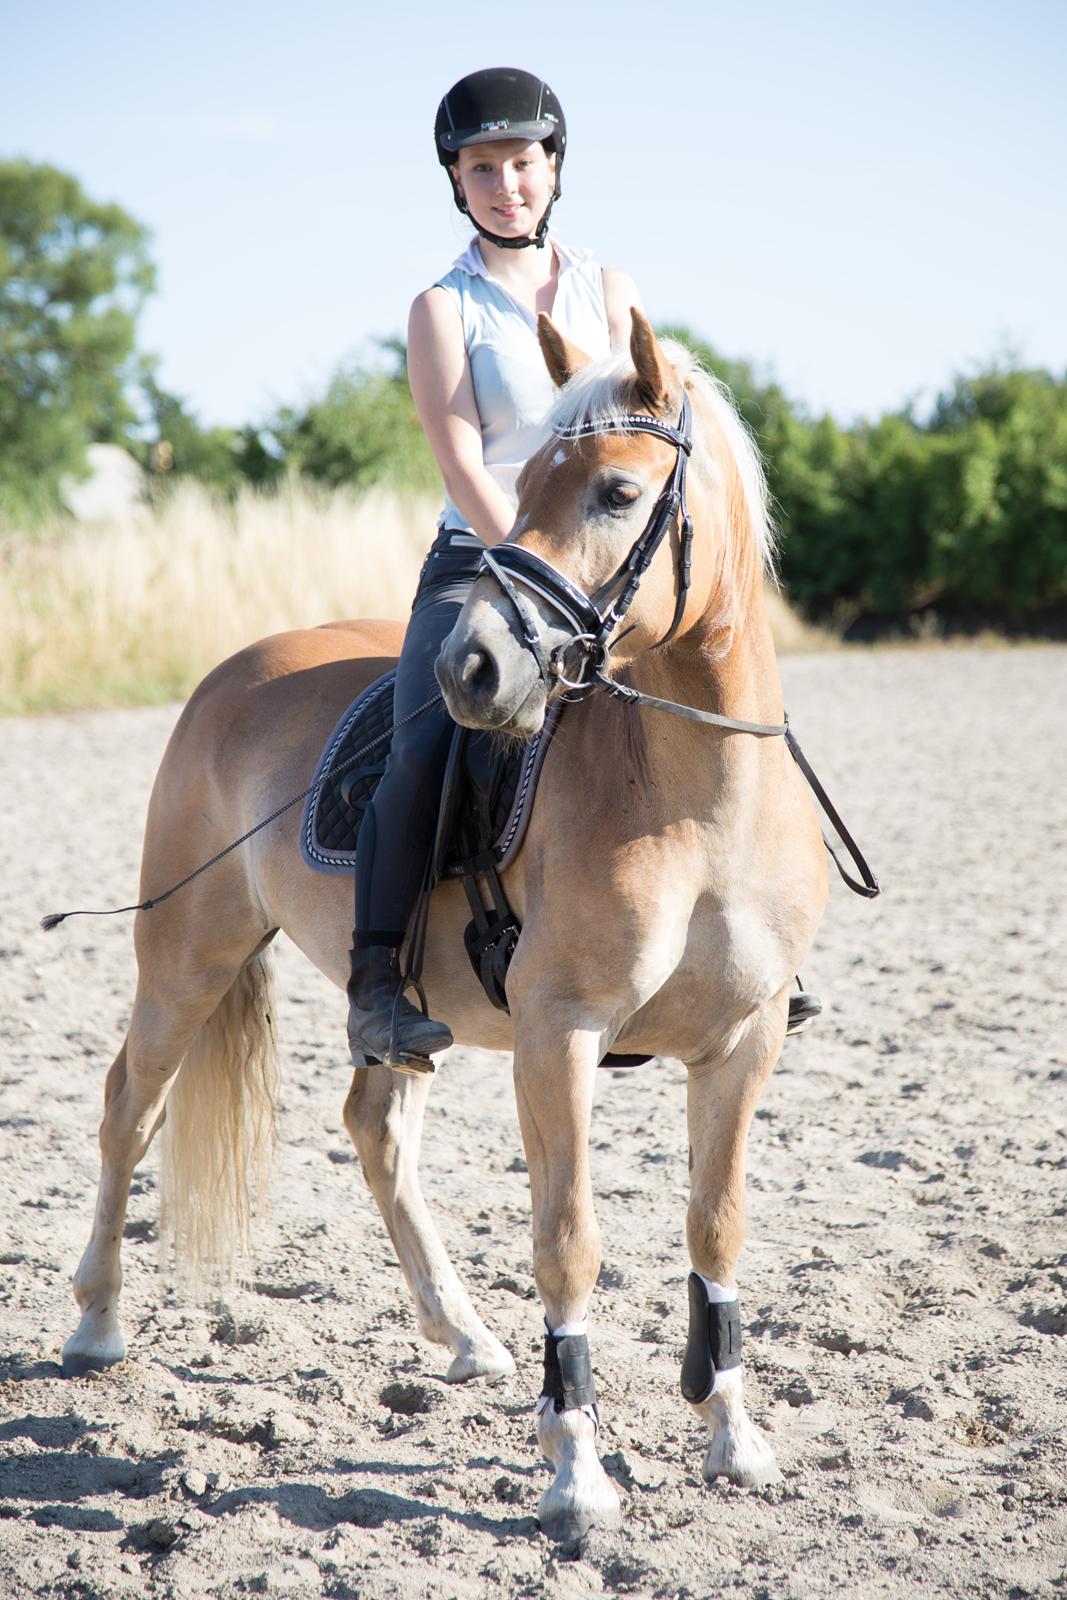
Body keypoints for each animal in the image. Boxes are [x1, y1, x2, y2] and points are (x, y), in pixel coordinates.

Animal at [60, 308, 825, 1536]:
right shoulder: (559, 1034)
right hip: (185, 955)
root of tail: (231, 671)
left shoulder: (742, 1041)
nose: (475, 668)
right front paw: (575, 1472)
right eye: (521, 485)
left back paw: (461, 1335)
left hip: (403, 1006)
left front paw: (734, 1438)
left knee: (374, 1126)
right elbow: (567, 1241)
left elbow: (716, 1229)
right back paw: (94, 1323)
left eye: (616, 491)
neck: (696, 798)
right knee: (130, 1106)